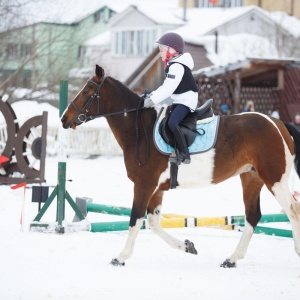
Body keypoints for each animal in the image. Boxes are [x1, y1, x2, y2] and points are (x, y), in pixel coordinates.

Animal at [61, 65, 300, 268]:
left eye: (87, 91)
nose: (64, 119)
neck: (141, 131)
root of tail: (278, 123)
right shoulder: (156, 189)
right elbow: (153, 222)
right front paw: (186, 245)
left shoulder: (144, 185)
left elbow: (135, 219)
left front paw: (121, 257)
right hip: (251, 178)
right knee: (252, 216)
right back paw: (231, 259)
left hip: (275, 180)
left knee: (292, 211)